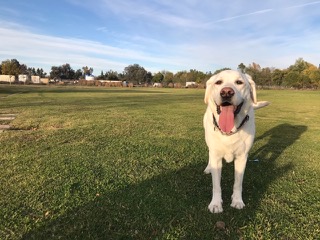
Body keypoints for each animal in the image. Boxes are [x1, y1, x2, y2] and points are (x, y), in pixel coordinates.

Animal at [204, 70, 268, 214]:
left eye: (239, 82)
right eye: (218, 82)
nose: (226, 92)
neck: (229, 131)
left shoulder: (242, 157)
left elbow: (238, 183)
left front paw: (237, 201)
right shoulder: (216, 156)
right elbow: (216, 185)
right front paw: (216, 204)